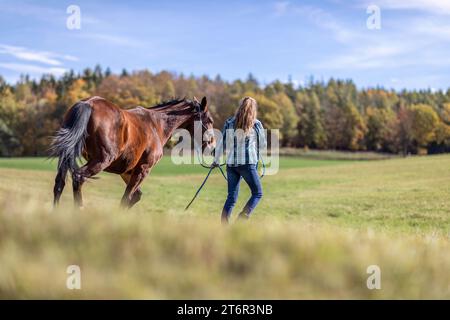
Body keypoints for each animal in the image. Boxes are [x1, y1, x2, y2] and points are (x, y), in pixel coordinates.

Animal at [51, 96, 214, 209]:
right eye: (210, 120)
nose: (212, 145)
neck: (157, 124)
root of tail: (87, 104)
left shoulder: (127, 171)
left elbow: (135, 196)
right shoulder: (143, 169)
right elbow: (127, 198)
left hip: (67, 156)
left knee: (60, 183)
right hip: (101, 160)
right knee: (79, 178)